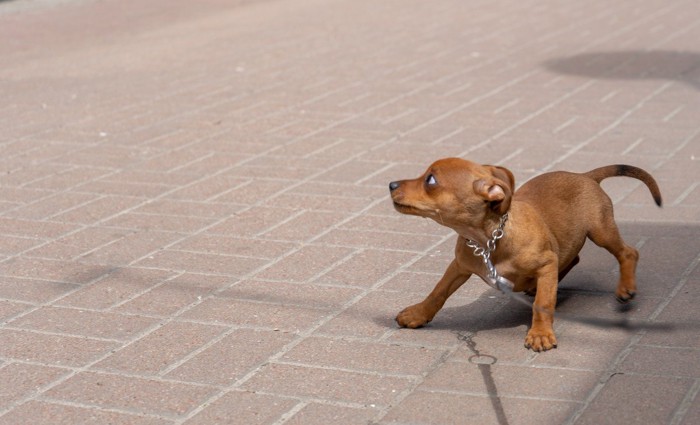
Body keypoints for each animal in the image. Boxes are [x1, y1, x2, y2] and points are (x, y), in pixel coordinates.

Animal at [388, 157, 660, 350]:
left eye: (431, 180)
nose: (391, 184)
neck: (488, 241)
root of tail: (586, 176)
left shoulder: (546, 263)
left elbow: (543, 303)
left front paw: (540, 334)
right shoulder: (459, 266)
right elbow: (438, 292)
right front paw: (418, 314)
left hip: (600, 230)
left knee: (628, 252)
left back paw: (625, 288)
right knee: (573, 258)